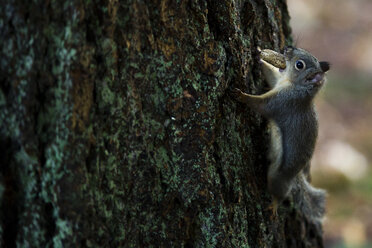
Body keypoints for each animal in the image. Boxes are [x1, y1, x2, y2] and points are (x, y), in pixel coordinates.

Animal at [231, 46, 330, 219]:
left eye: (299, 65)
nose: (288, 48)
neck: (297, 87)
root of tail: (294, 177)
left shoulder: (282, 102)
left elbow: (260, 105)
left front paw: (242, 96)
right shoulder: (277, 82)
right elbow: (271, 76)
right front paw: (259, 56)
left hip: (276, 178)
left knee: (281, 193)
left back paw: (274, 206)